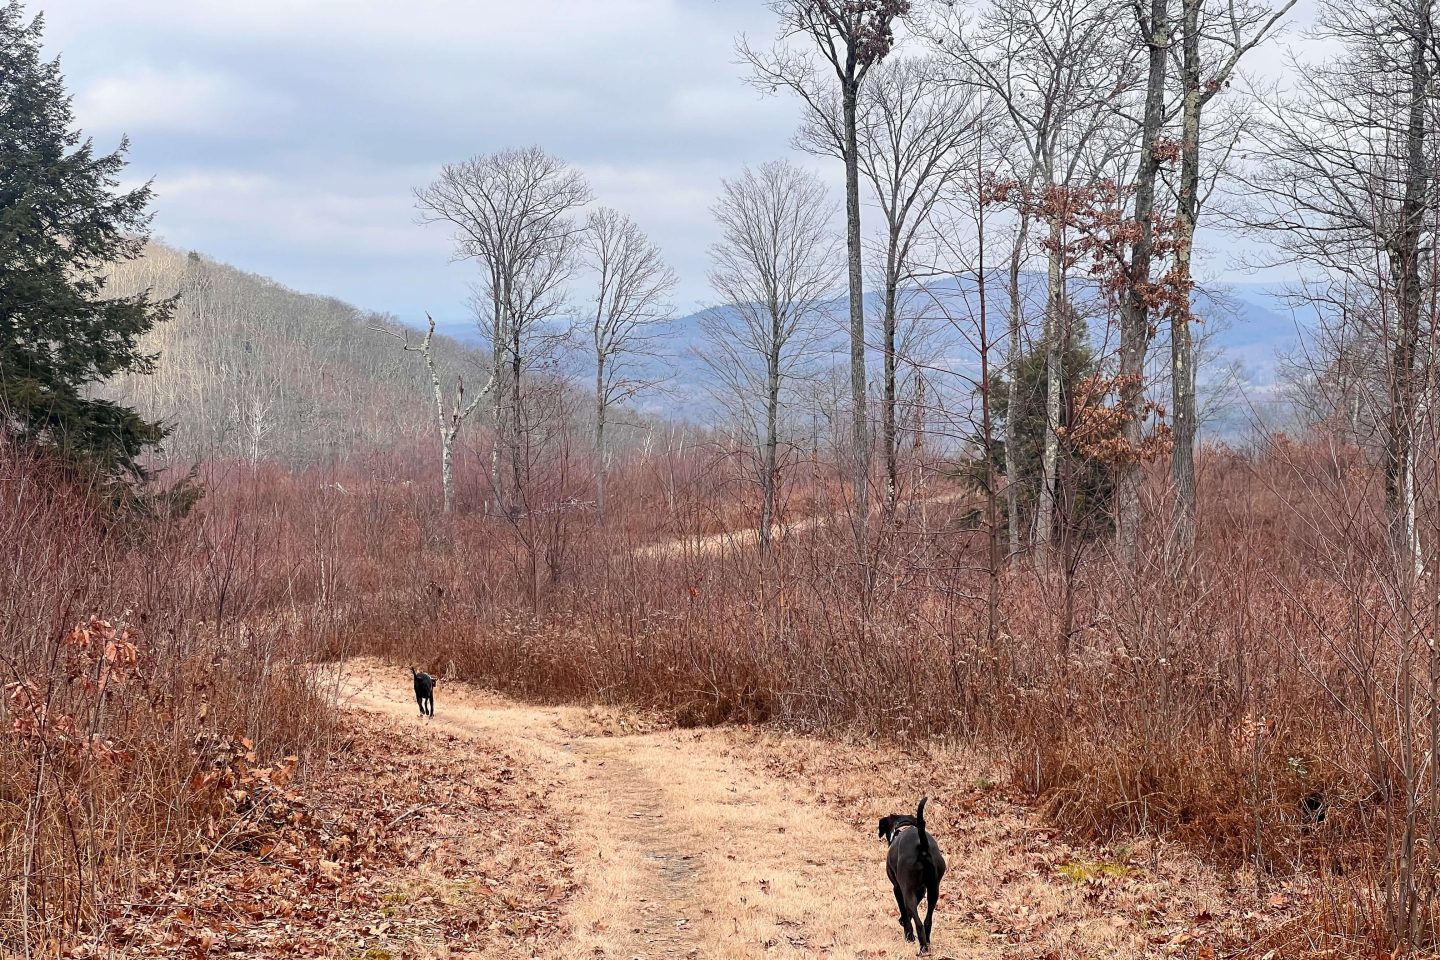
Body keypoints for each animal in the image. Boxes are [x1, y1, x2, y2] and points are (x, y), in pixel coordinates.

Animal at [875, 794, 944, 955]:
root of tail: (923, 848)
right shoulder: (922, 890)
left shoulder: (897, 888)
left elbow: (905, 911)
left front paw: (907, 932)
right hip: (933, 891)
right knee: (927, 920)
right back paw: (927, 943)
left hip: (907, 890)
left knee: (918, 922)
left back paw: (920, 945)